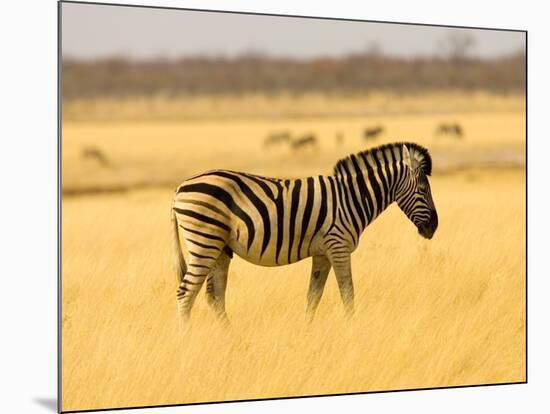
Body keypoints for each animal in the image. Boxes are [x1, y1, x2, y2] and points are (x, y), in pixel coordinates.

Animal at [172, 142, 440, 326]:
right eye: (423, 189)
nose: (434, 227)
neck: (352, 197)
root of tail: (179, 187)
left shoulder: (322, 253)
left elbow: (313, 296)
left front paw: (307, 331)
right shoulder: (339, 246)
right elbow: (348, 293)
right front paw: (353, 329)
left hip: (219, 247)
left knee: (214, 296)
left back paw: (229, 338)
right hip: (204, 241)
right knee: (186, 293)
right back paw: (185, 340)